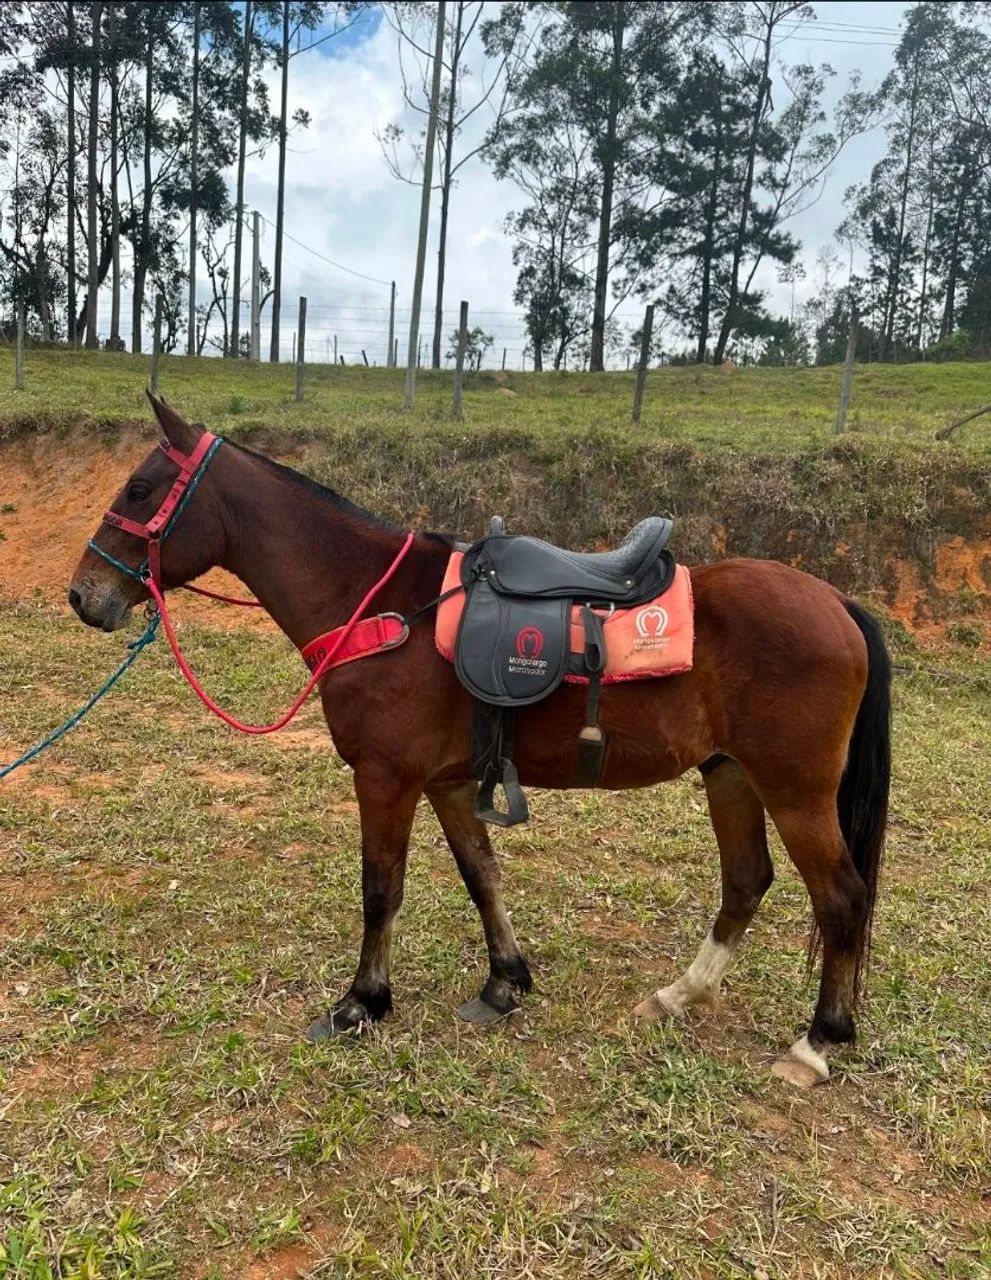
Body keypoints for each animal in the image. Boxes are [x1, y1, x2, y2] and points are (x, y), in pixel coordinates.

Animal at [69, 396, 891, 1088]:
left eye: (139, 489)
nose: (83, 595)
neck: (381, 606)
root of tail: (838, 603)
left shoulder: (386, 778)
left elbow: (381, 890)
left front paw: (362, 1001)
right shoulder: (448, 782)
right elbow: (482, 876)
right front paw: (504, 983)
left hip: (795, 791)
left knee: (841, 899)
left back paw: (816, 1042)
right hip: (731, 777)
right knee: (746, 882)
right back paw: (679, 994)